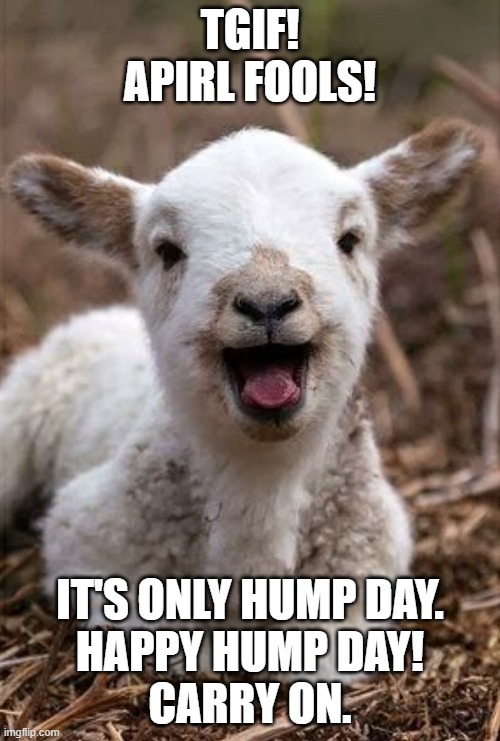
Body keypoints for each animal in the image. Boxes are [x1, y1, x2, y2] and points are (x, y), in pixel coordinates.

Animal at [1, 120, 482, 680]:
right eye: (166, 250)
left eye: (350, 240)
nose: (268, 302)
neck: (260, 483)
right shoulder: (87, 543)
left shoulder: (368, 568)